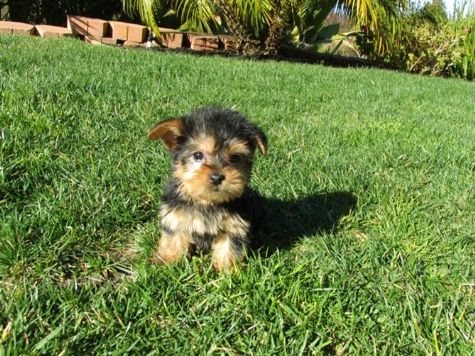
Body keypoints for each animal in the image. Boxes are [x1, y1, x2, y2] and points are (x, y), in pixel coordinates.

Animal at [149, 107, 268, 272]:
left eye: (235, 157)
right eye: (198, 155)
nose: (217, 177)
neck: (206, 201)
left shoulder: (234, 225)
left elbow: (229, 246)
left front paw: (228, 270)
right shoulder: (176, 216)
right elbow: (173, 238)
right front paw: (167, 261)